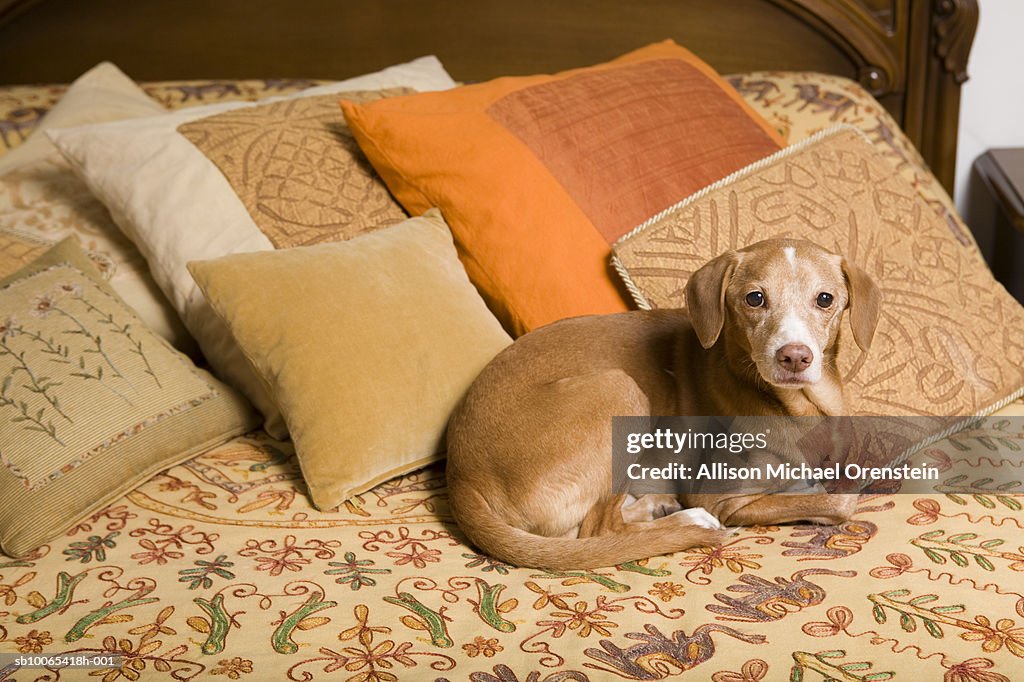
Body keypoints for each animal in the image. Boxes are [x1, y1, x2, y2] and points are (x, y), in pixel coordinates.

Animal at [444, 236, 884, 565]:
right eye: (755, 298)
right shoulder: (721, 497)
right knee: (598, 530)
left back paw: (653, 505)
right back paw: (687, 521)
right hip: (618, 390)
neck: (801, 408)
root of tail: (461, 474)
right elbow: (839, 501)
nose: (794, 356)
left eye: (825, 299)